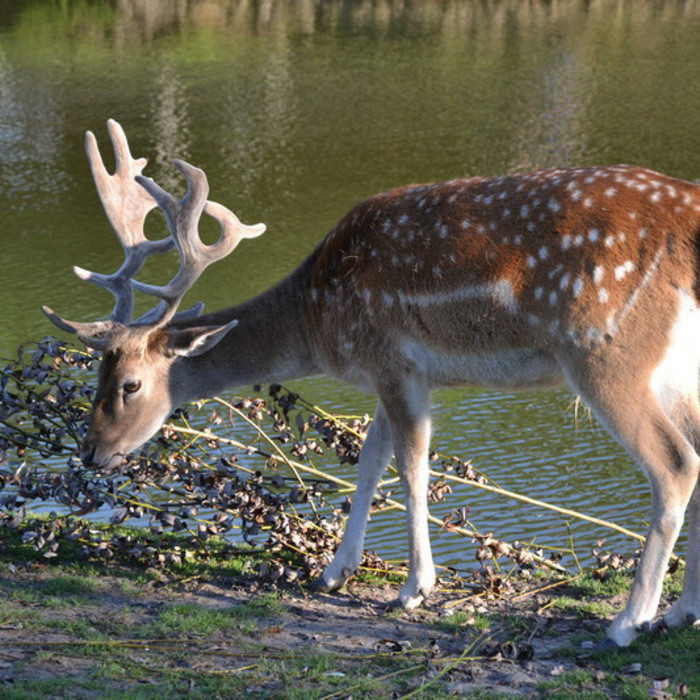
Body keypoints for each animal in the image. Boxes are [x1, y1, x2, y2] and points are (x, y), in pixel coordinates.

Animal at [43, 121, 700, 652]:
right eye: (97, 374)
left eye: (130, 385)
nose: (92, 451)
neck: (320, 319)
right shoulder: (393, 375)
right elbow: (369, 459)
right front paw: (336, 571)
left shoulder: (394, 361)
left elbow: (410, 466)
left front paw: (413, 589)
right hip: (675, 366)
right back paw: (679, 614)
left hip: (604, 350)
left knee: (675, 463)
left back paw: (627, 623)